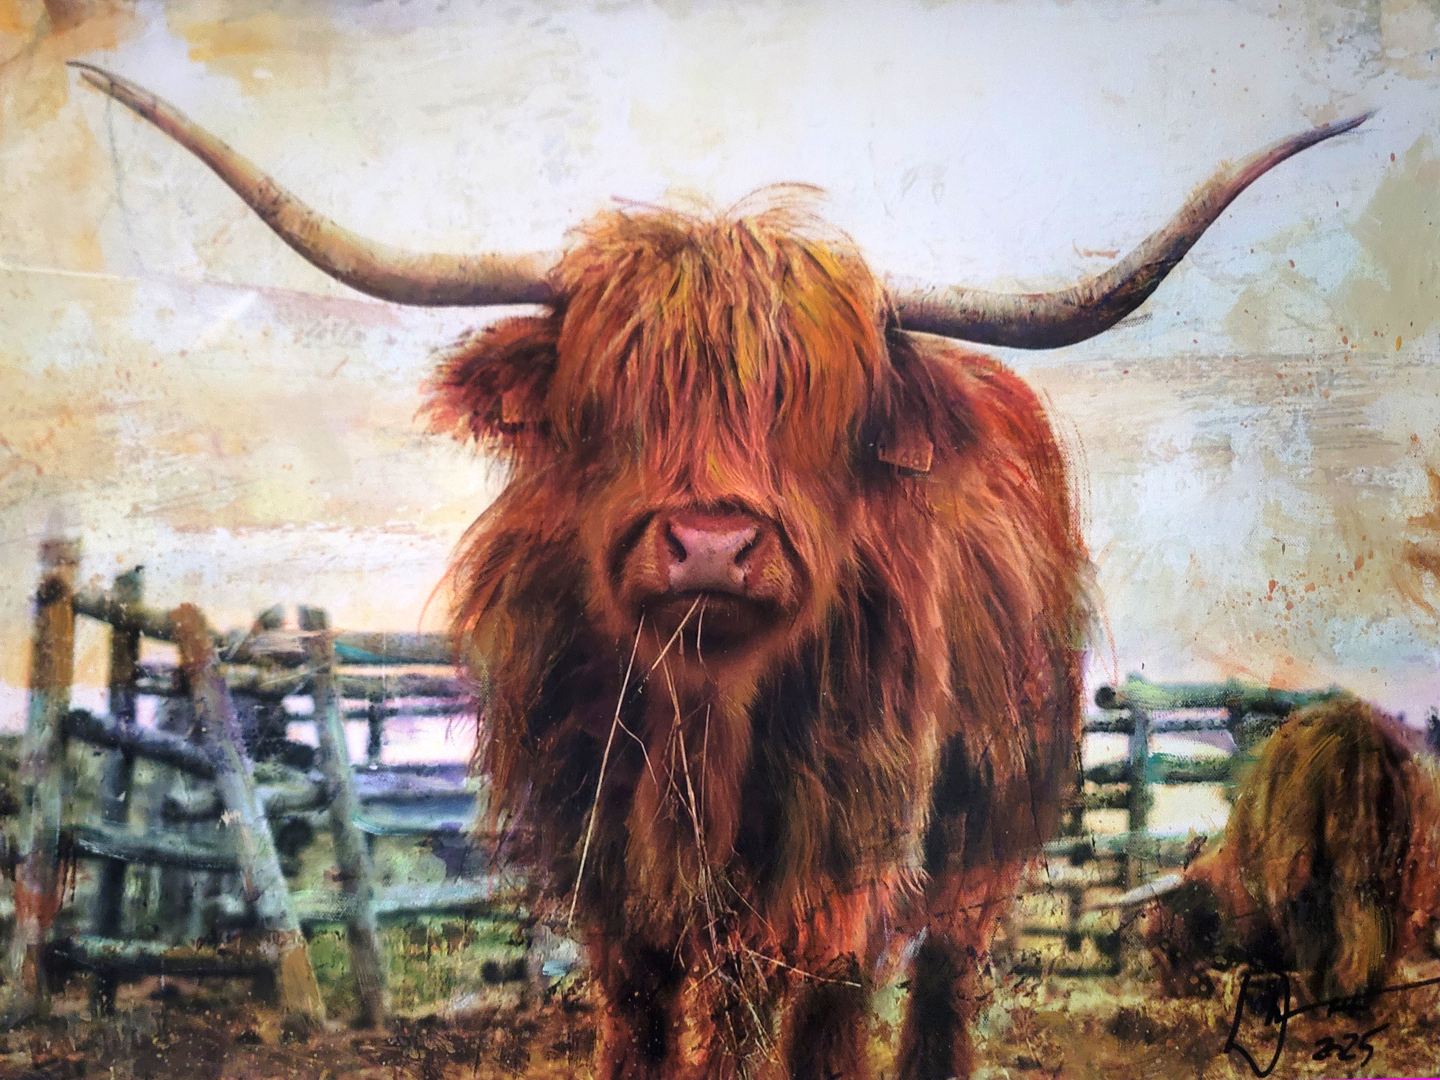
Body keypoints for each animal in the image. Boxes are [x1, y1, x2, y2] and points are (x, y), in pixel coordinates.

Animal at [70, 63, 1367, 1078]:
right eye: (618, 388)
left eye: (815, 403)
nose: (709, 544)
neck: (706, 719)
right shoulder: (610, 884)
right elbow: (649, 1029)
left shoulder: (843, 874)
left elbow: (819, 1031)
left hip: (985, 834)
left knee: (944, 983)